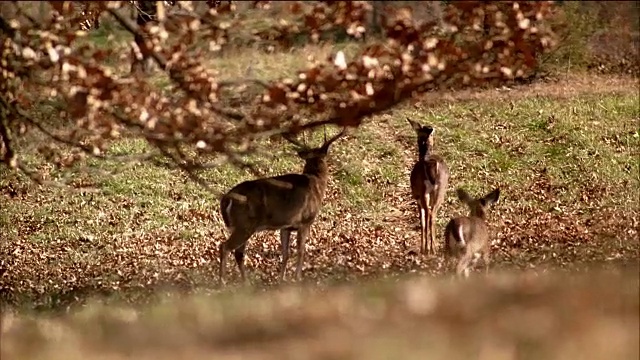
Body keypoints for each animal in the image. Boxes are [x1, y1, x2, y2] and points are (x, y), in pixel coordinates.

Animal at [218, 126, 348, 284]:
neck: (316, 183)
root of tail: (226, 199)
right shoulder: (305, 221)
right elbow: (301, 251)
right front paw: (298, 278)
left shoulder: (285, 226)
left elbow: (285, 253)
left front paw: (282, 279)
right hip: (245, 224)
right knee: (225, 247)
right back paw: (223, 282)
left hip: (239, 225)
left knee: (238, 253)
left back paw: (246, 282)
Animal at [408, 119, 448, 255]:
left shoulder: (417, 197)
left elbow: (422, 221)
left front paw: (422, 247)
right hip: (440, 190)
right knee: (432, 214)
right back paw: (434, 248)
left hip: (423, 192)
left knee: (429, 214)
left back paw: (428, 248)